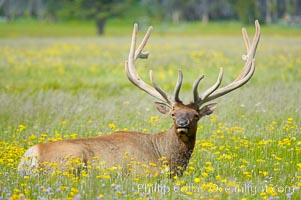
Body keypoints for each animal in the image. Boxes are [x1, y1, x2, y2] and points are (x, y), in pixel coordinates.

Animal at [18, 20, 260, 177]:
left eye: (196, 115)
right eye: (173, 113)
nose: (182, 123)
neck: (167, 158)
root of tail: (31, 156)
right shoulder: (145, 174)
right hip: (70, 162)